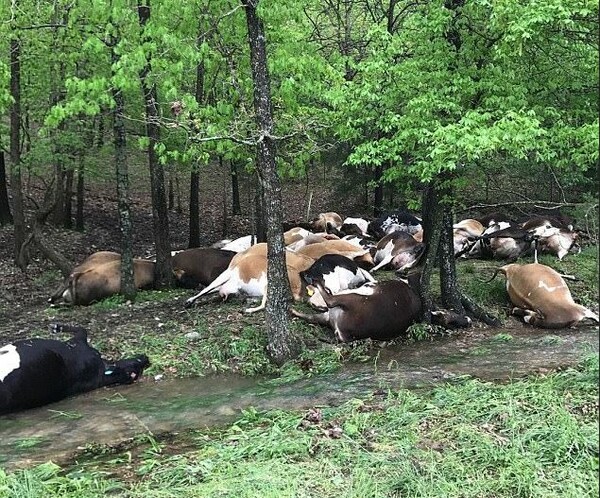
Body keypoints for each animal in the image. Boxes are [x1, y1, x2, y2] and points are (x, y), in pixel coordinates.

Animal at [0, 324, 149, 414]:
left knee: (81, 330)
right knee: (81, 330)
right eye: (136, 368)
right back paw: (58, 327)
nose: (146, 359)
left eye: (135, 372)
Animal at [290, 280, 422, 342]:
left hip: (352, 300)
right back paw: (293, 311)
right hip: (330, 317)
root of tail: (344, 333)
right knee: (312, 317)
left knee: (329, 300)